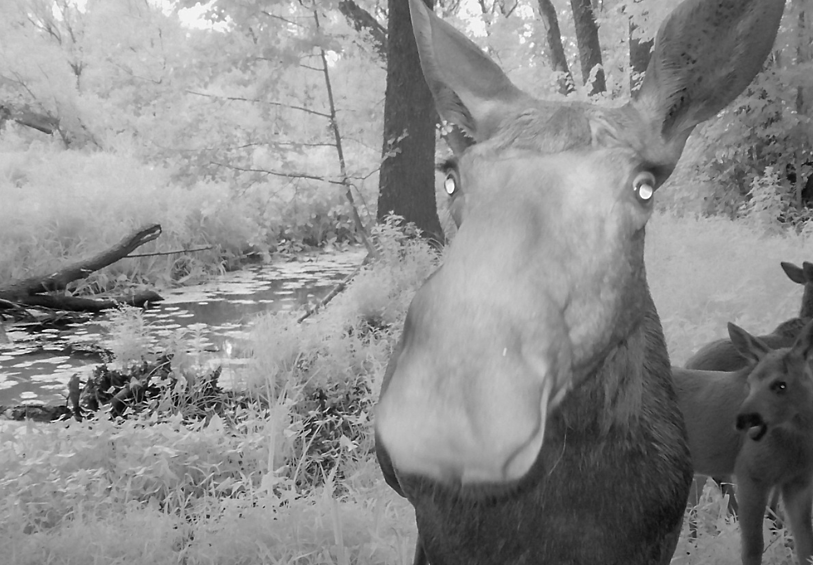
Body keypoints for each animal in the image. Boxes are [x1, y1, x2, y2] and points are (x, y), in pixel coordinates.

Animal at [668, 322, 812, 564]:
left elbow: (805, 548)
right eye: (749, 382)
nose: (743, 421)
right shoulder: (749, 473)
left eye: (781, 385)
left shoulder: (798, 482)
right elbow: (753, 548)